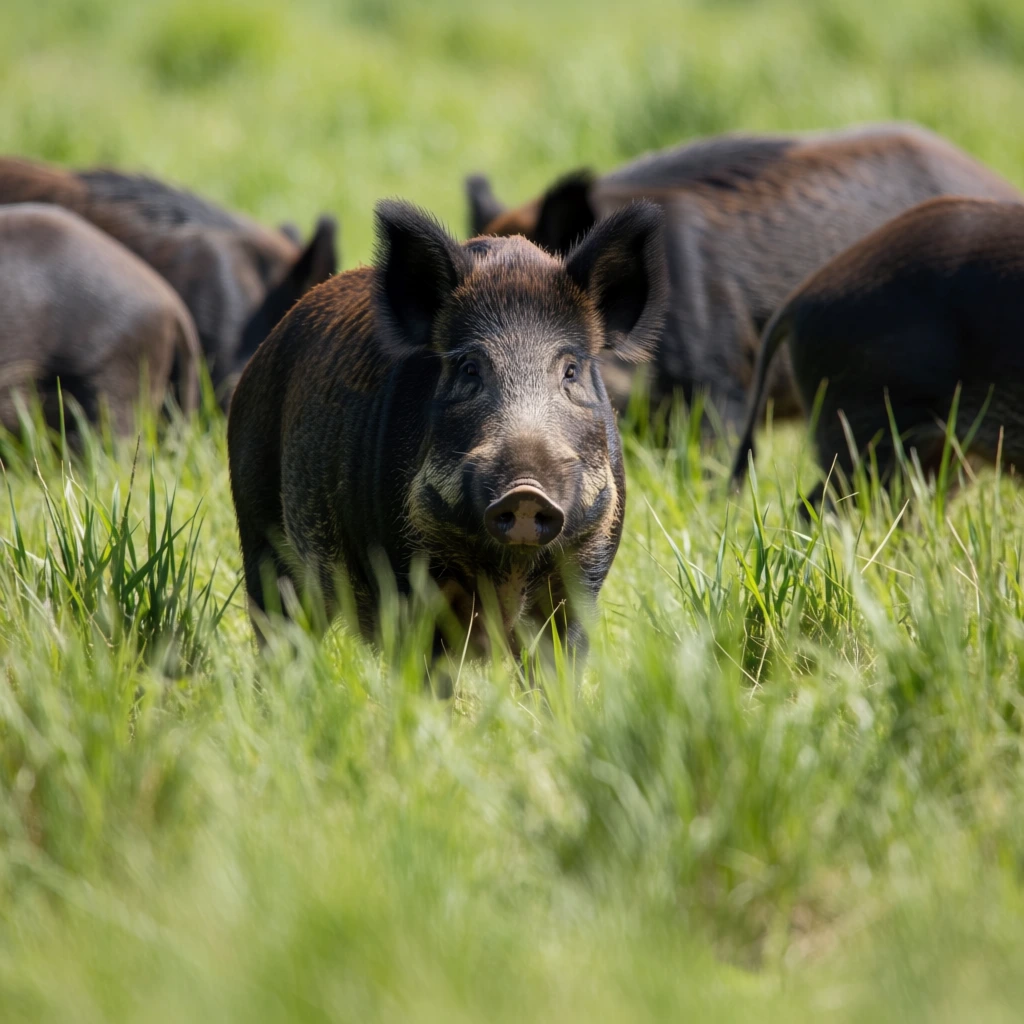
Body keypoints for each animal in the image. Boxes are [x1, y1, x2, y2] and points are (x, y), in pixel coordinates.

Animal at [228, 198, 667, 661]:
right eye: (470, 369)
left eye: (570, 371)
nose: (526, 491)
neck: (509, 568)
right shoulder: (407, 579)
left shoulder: (583, 573)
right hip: (258, 528)